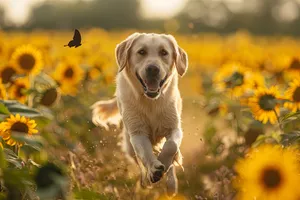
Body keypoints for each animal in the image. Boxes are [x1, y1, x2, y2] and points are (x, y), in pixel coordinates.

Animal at [91, 33, 188, 197]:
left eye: (164, 52)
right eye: (141, 52)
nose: (153, 69)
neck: (150, 101)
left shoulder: (174, 128)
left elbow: (171, 146)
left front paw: (164, 163)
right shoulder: (137, 133)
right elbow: (146, 154)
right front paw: (153, 169)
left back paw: (171, 184)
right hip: (129, 144)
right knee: (138, 161)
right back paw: (146, 181)